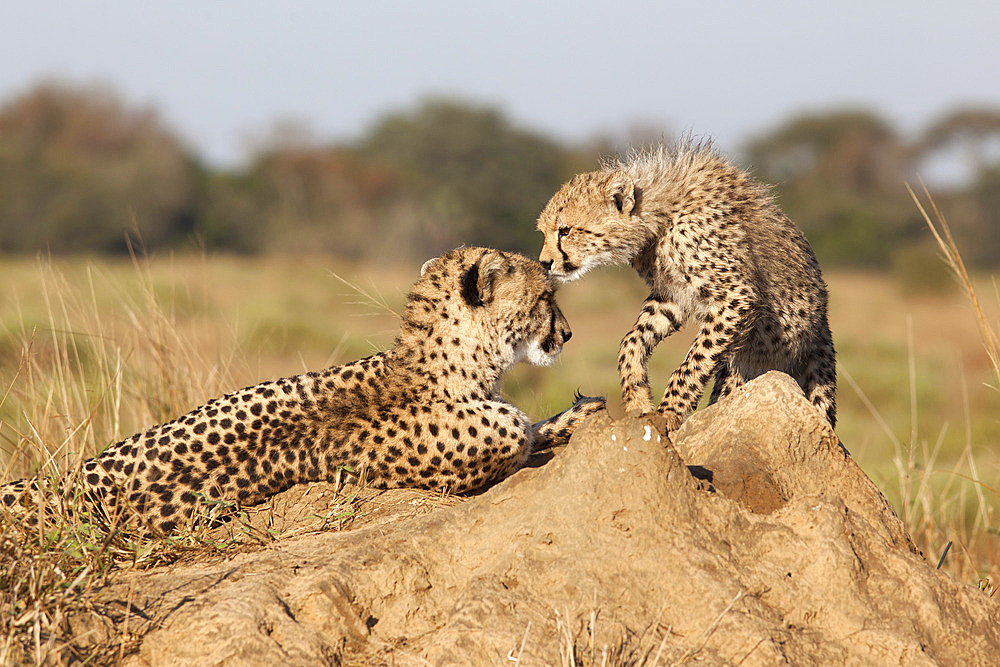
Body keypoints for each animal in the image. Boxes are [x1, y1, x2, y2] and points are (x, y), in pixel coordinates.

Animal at [3, 248, 604, 536]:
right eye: (547, 295)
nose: (570, 334)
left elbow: (538, 423)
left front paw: (582, 408)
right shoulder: (484, 459)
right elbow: (529, 435)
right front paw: (576, 416)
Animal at [540, 141, 836, 434]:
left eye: (565, 231)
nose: (544, 262)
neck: (660, 215)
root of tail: (822, 325)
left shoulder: (735, 297)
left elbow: (695, 361)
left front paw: (669, 412)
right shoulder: (672, 297)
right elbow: (631, 340)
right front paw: (638, 398)